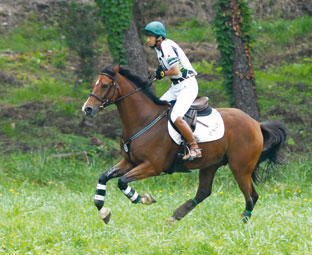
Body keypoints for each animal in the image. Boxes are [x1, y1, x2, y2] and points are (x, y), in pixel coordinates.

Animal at [81, 64, 286, 224]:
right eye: (94, 84)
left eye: (105, 85)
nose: (87, 109)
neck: (143, 120)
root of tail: (255, 124)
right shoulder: (129, 162)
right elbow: (104, 177)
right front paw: (103, 211)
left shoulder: (152, 166)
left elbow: (122, 182)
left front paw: (143, 199)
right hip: (210, 165)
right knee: (204, 192)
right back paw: (176, 216)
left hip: (240, 168)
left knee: (251, 196)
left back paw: (241, 224)